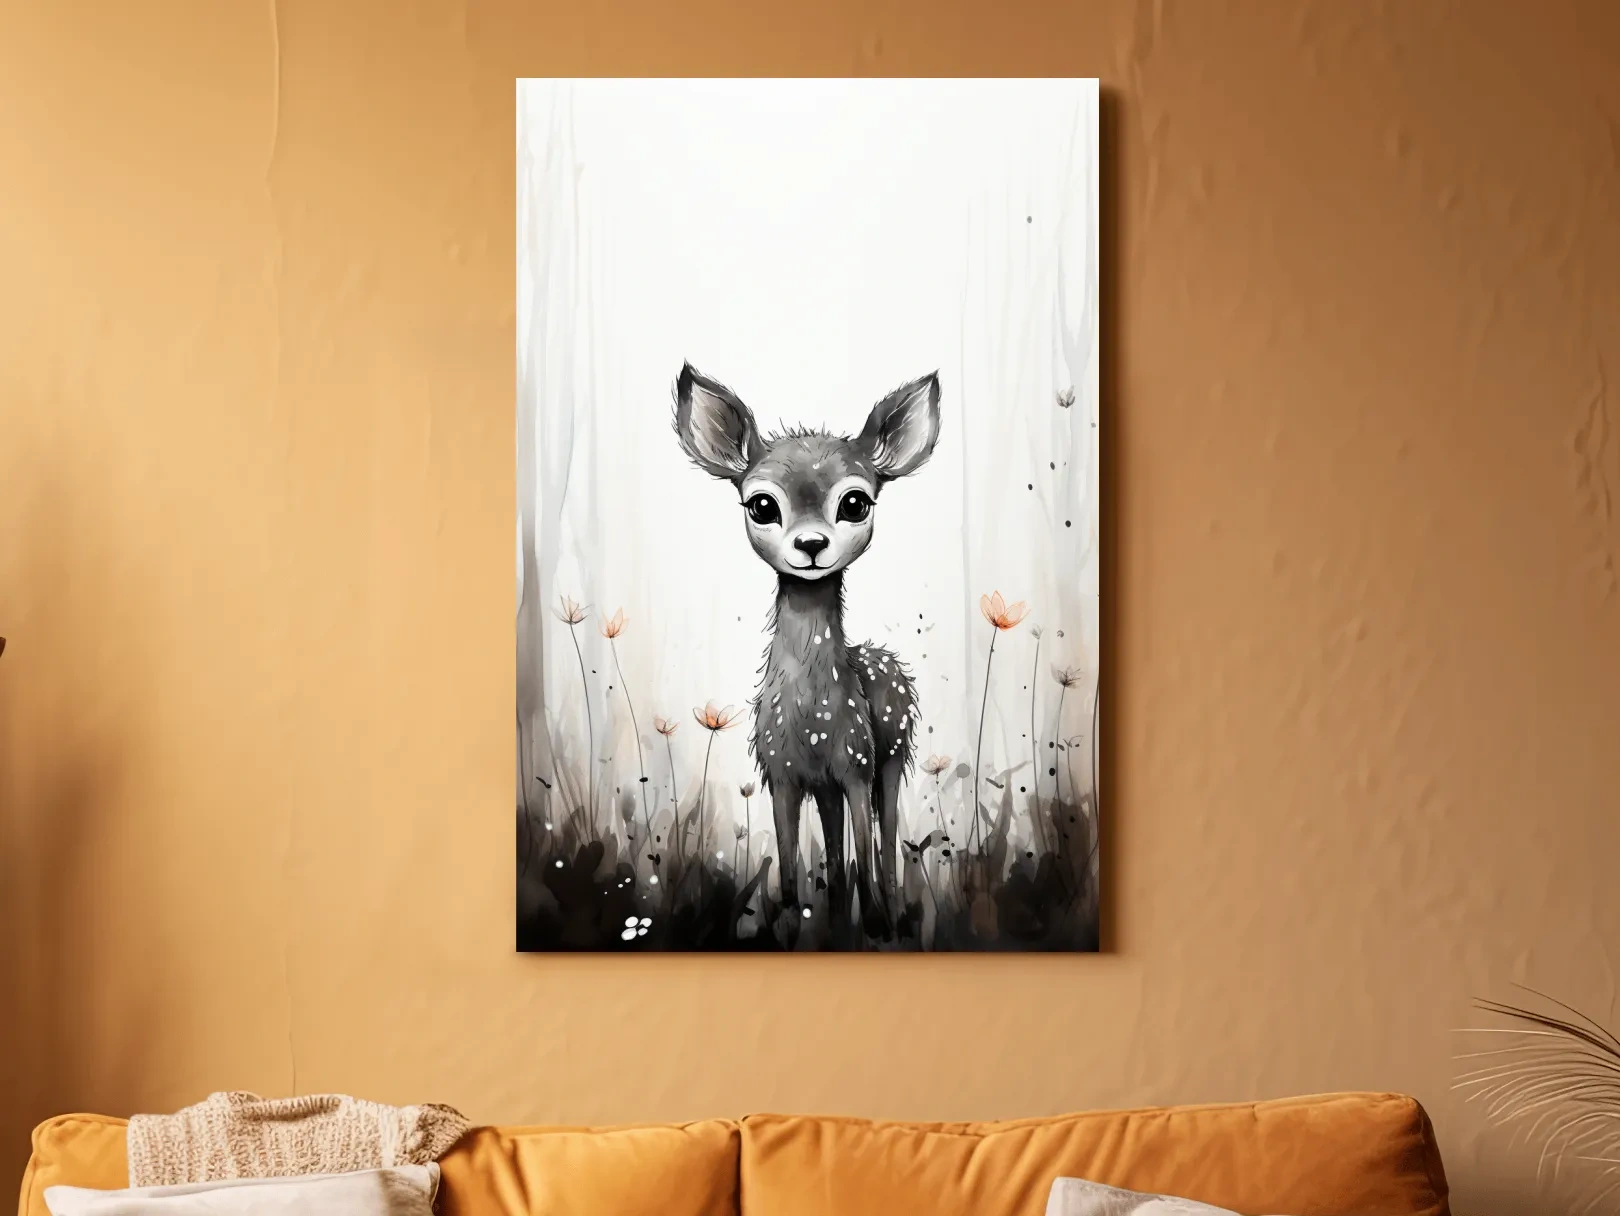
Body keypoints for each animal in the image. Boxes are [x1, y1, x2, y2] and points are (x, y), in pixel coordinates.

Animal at [673, 362, 942, 937]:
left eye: (856, 502)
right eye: (761, 504)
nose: (812, 545)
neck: (813, 717)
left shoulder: (857, 763)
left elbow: (865, 847)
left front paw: (876, 925)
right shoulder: (782, 774)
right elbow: (793, 871)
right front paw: (792, 924)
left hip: (892, 755)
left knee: (885, 841)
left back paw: (886, 914)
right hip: (828, 784)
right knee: (837, 852)